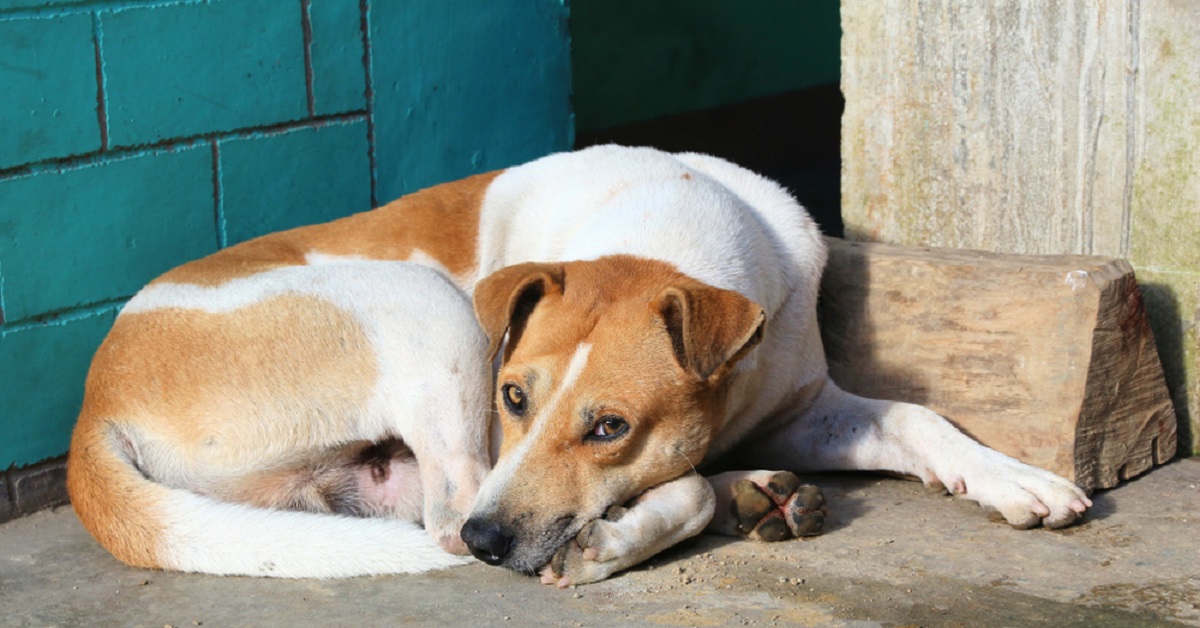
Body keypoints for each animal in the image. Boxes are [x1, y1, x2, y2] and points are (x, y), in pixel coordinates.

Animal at [70, 145, 1094, 588]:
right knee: (444, 516)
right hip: (428, 310)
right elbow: (676, 487)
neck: (670, 227)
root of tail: (91, 407)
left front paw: (1016, 478)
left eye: (610, 426)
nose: (495, 543)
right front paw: (622, 535)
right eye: (513, 396)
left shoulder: (803, 402)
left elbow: (915, 416)